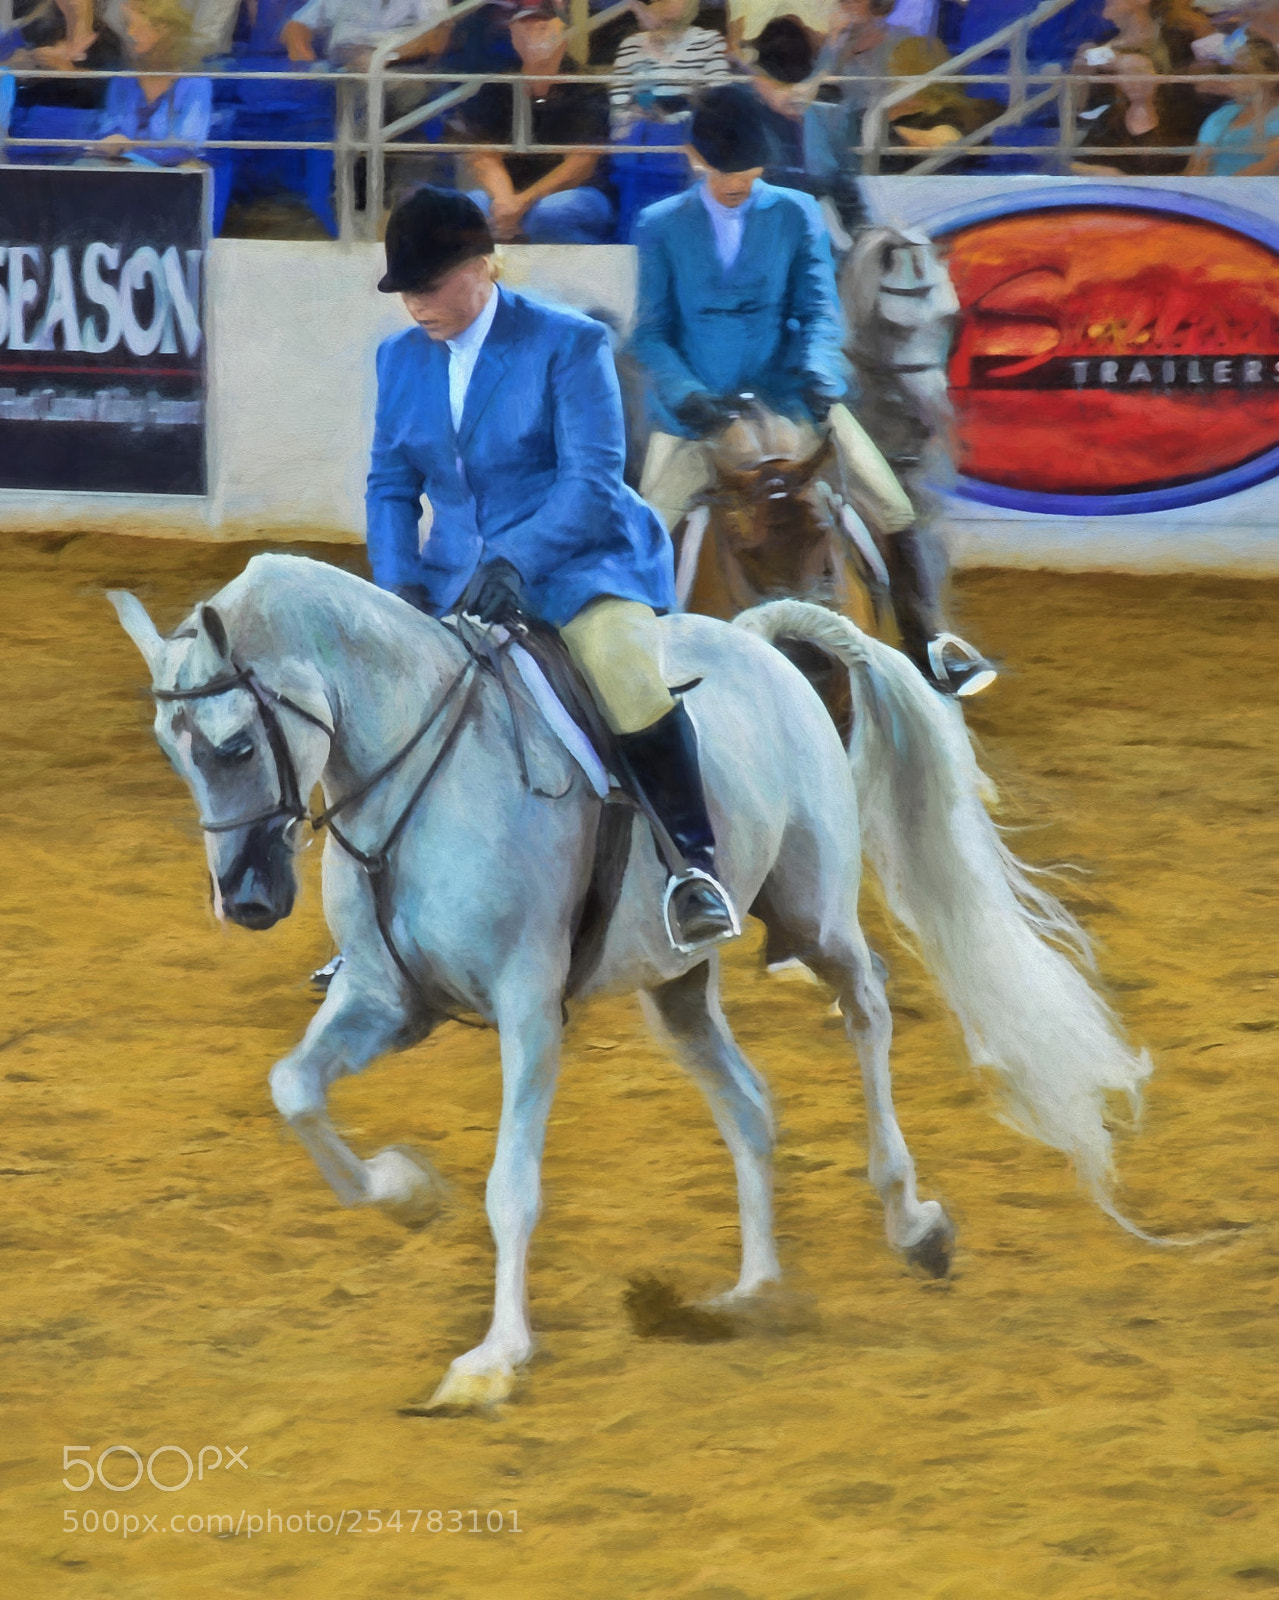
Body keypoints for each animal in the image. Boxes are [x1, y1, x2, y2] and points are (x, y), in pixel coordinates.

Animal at [111, 553, 1154, 1411]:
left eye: (234, 744)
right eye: (170, 749)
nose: (247, 900)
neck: (411, 778)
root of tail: (754, 640)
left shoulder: (529, 1010)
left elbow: (512, 1187)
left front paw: (492, 1360)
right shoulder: (385, 1001)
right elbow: (294, 1088)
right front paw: (405, 1192)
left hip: (815, 915)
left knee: (865, 1012)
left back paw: (911, 1219)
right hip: (675, 986)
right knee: (749, 1102)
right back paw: (754, 1288)